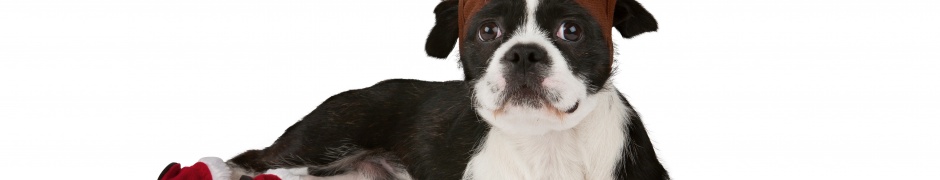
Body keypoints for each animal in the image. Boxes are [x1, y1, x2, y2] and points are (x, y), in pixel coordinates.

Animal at [226, 0, 668, 179]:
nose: (524, 53)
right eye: (488, 31)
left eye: (571, 31)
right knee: (249, 159)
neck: (545, 143)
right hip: (324, 136)